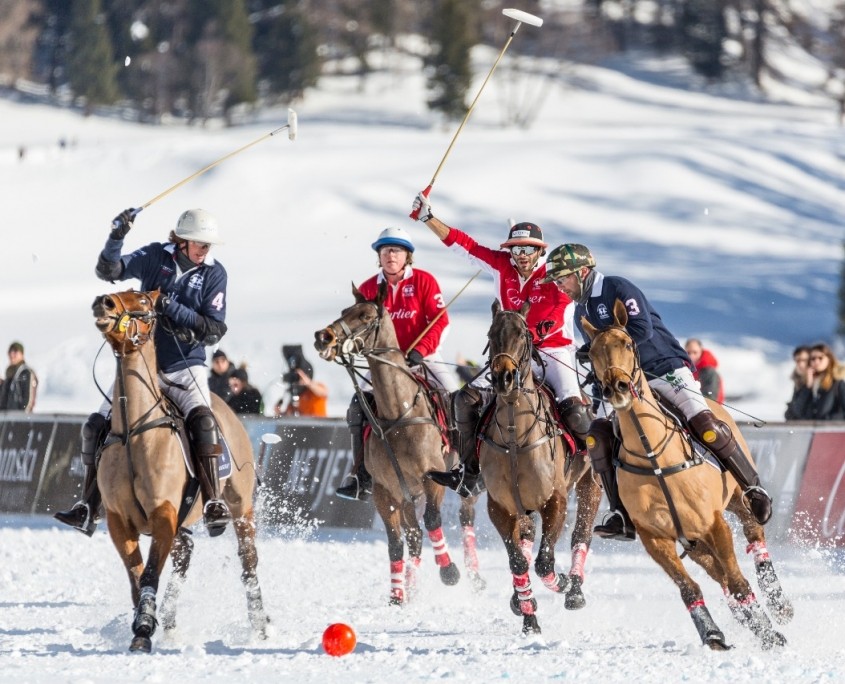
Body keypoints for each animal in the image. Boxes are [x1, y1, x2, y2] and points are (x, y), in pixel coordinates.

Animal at [91, 288, 268, 652]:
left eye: (144, 301)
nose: (103, 302)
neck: (133, 430)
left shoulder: (163, 513)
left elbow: (149, 574)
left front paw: (144, 629)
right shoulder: (119, 520)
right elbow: (137, 576)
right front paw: (146, 622)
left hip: (240, 505)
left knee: (248, 560)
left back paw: (259, 625)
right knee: (184, 555)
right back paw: (170, 624)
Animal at [312, 284, 482, 604]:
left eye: (366, 316)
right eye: (344, 311)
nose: (322, 337)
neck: (398, 413)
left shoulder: (432, 479)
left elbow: (433, 521)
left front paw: (449, 572)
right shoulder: (385, 491)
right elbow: (397, 542)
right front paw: (397, 596)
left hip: (461, 487)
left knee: (466, 517)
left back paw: (476, 576)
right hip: (407, 495)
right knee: (414, 536)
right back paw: (411, 588)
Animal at [482, 302, 600, 632]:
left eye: (523, 335)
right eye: (491, 335)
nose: (504, 378)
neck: (514, 434)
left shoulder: (554, 500)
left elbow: (544, 561)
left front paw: (561, 582)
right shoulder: (500, 506)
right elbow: (518, 561)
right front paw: (529, 618)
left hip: (590, 484)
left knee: (581, 534)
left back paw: (574, 589)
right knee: (526, 539)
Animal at [584, 300, 788, 652]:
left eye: (627, 343)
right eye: (592, 352)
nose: (616, 388)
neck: (653, 455)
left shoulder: (714, 523)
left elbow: (738, 581)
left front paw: (769, 632)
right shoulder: (655, 538)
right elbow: (689, 588)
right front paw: (713, 634)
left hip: (735, 499)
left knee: (753, 533)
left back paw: (778, 602)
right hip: (693, 543)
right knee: (718, 574)